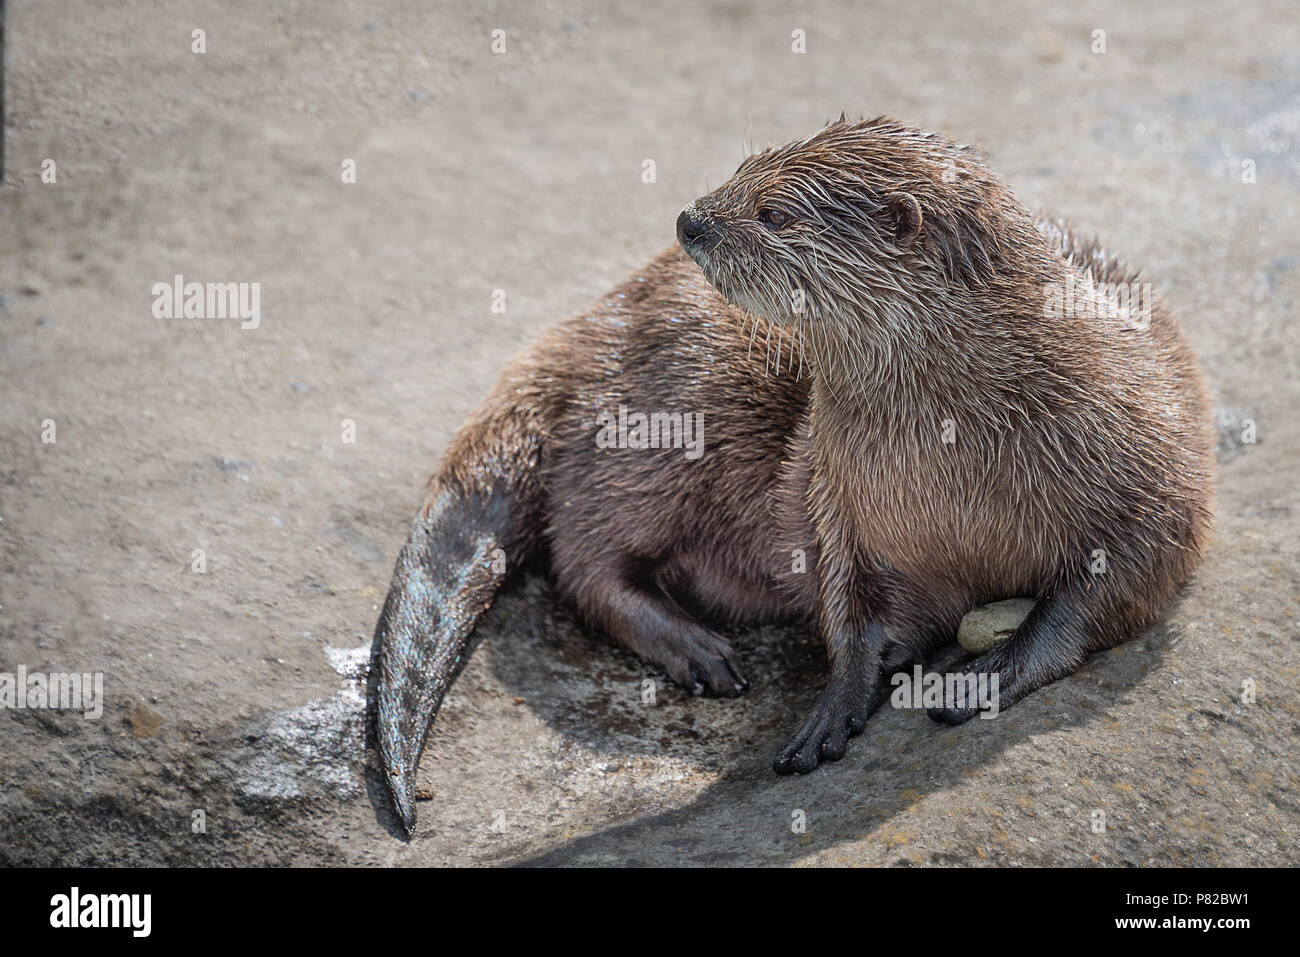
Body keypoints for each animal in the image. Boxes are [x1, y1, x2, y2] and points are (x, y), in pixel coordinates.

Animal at [373, 115, 1215, 834]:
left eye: (774, 212)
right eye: (739, 168)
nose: (689, 220)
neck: (959, 466)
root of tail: (586, 328)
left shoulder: (1155, 470)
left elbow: (1115, 583)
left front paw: (990, 672)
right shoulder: (838, 500)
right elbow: (848, 603)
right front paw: (839, 698)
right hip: (657, 424)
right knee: (585, 557)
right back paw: (697, 648)